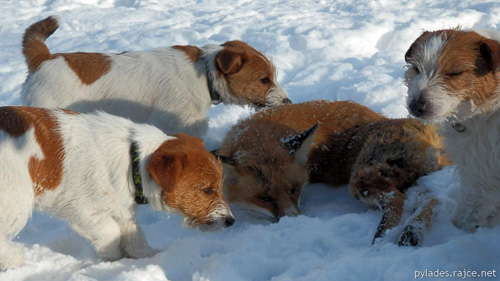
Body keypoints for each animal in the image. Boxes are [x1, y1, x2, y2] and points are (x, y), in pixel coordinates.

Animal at [0, 106, 234, 268]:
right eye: (207, 189)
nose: (231, 221)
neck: (134, 159)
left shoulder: (123, 209)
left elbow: (135, 237)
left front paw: (149, 257)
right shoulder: (82, 210)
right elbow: (110, 232)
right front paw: (113, 258)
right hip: (17, 202)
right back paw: (15, 257)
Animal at [217, 99, 452, 244]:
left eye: (294, 189)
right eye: (264, 198)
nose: (295, 220)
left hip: (361, 179)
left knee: (396, 199)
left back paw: (381, 240)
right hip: (417, 179)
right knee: (434, 198)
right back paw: (412, 233)